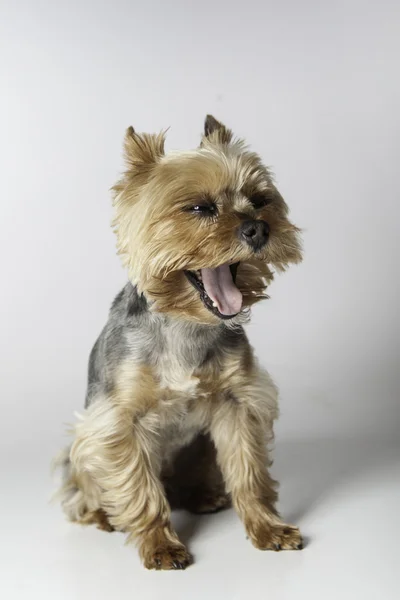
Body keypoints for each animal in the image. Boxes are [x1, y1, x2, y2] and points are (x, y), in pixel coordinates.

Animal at [56, 115, 304, 568]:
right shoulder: (118, 422)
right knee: (90, 487)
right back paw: (102, 514)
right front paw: (160, 544)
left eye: (260, 201)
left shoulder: (240, 403)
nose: (259, 227)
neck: (185, 324)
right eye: (200, 208)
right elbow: (140, 489)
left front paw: (267, 527)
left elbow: (249, 473)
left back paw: (205, 495)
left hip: (200, 448)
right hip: (83, 449)